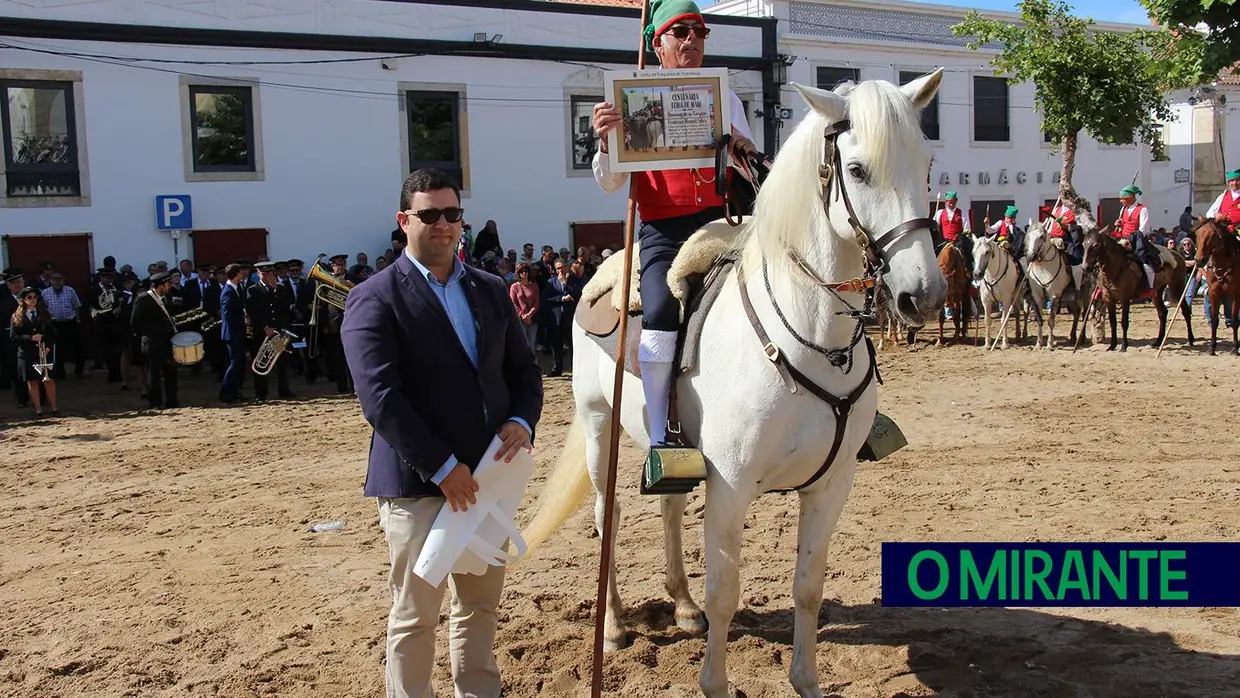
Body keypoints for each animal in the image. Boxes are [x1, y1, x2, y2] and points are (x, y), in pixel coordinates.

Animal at [518, 68, 942, 694]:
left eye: (927, 163)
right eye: (858, 169)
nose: (924, 295)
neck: (811, 338)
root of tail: (600, 268)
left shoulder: (831, 486)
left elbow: (808, 588)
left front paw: (805, 680)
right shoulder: (731, 486)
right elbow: (725, 592)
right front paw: (714, 682)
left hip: (668, 446)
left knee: (668, 506)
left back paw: (682, 606)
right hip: (599, 428)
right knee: (605, 515)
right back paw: (614, 627)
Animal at [1190, 218, 1240, 357]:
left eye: (1212, 235)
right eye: (1197, 234)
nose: (1199, 260)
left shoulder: (1236, 294)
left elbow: (1234, 320)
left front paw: (1235, 348)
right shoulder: (1214, 293)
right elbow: (1214, 320)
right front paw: (1212, 348)